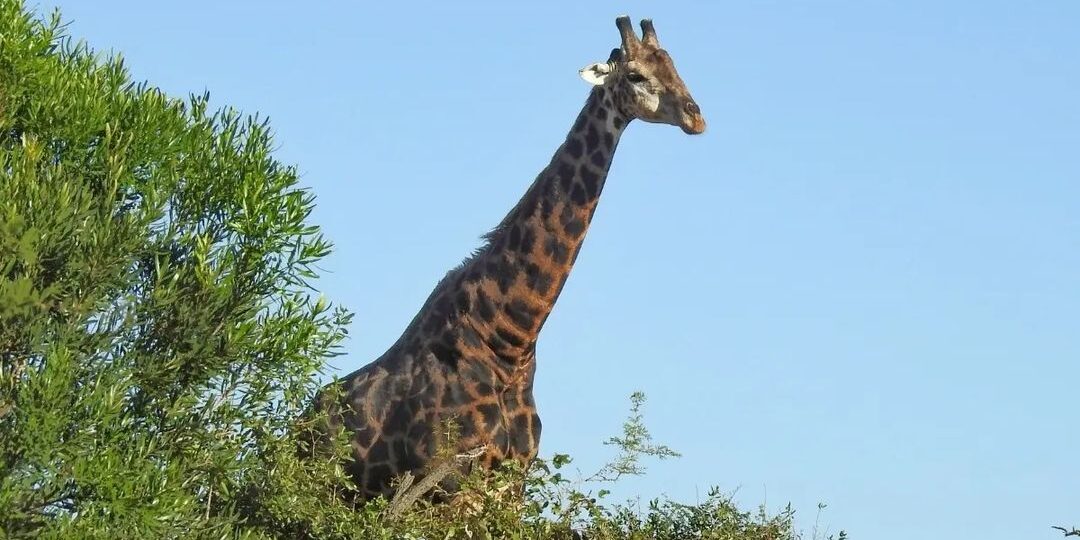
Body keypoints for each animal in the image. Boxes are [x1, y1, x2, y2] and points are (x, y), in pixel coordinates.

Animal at [316, 15, 706, 501]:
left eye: (674, 66)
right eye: (635, 75)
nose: (696, 117)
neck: (510, 341)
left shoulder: (511, 485)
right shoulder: (450, 483)